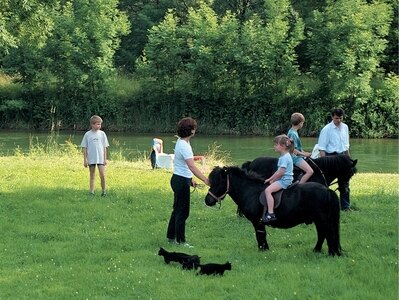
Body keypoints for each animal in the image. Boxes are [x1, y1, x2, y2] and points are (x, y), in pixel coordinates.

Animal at [205, 166, 342, 255]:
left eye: (218, 182)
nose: (207, 200)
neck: (251, 191)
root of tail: (327, 190)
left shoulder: (257, 222)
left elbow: (260, 235)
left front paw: (262, 250)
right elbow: (262, 235)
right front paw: (265, 249)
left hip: (321, 219)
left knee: (327, 233)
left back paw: (330, 252)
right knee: (323, 233)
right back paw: (317, 250)